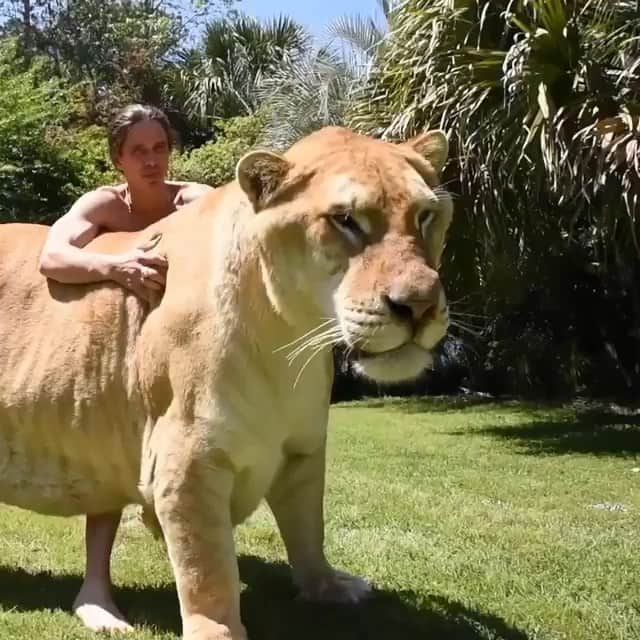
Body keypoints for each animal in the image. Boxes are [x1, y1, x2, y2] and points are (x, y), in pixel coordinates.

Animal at [0, 126, 453, 640]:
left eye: (425, 216)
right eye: (345, 220)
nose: (419, 306)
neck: (290, 342)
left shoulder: (303, 449)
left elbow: (308, 527)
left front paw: (327, 586)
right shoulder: (186, 461)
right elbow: (208, 569)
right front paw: (218, 631)